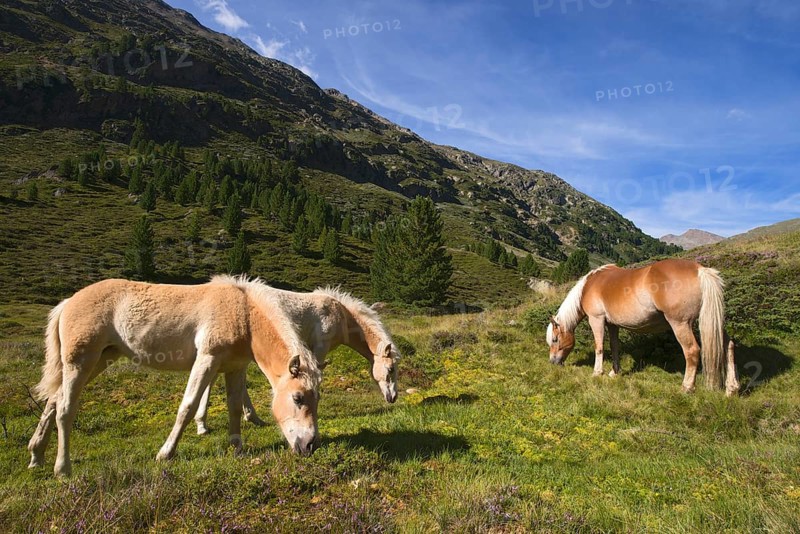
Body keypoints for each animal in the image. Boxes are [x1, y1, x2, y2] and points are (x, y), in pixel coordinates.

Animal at [27, 276, 322, 477]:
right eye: (297, 398)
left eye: (316, 399)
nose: (310, 446)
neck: (243, 313)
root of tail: (68, 302)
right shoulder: (206, 359)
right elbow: (188, 407)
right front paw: (165, 454)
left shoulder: (235, 367)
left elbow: (235, 407)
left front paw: (237, 448)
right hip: (80, 363)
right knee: (65, 409)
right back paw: (62, 469)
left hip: (99, 360)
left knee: (54, 400)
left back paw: (36, 455)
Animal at [546, 259, 740, 395]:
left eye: (555, 339)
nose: (553, 362)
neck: (590, 285)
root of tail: (700, 270)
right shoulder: (613, 325)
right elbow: (615, 347)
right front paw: (614, 372)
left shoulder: (597, 320)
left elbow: (599, 347)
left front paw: (597, 373)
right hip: (711, 322)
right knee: (728, 345)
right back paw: (731, 388)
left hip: (680, 324)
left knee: (692, 351)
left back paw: (686, 387)